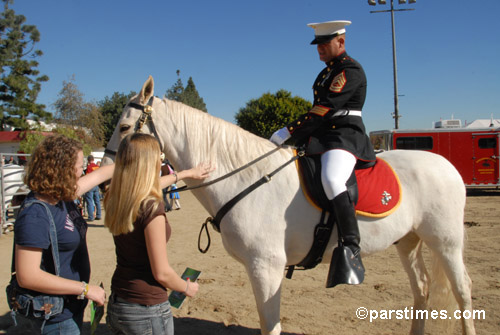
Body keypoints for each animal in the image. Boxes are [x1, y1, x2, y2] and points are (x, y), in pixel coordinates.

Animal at [103, 77, 474, 335]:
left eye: (124, 127)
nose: (106, 181)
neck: (246, 177)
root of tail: (446, 165)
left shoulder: (266, 267)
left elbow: (271, 326)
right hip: (408, 241)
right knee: (422, 289)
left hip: (445, 242)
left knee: (462, 291)